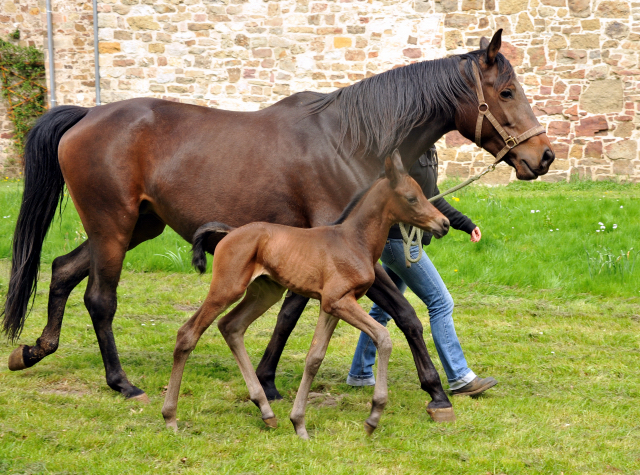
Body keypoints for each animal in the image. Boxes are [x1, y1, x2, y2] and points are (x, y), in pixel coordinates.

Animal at [160, 152, 450, 438]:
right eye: (411, 197)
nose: (444, 224)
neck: (353, 241)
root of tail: (229, 233)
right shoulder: (338, 301)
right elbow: (383, 337)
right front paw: (374, 415)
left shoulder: (332, 306)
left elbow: (314, 358)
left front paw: (298, 422)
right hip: (226, 288)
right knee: (188, 334)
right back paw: (170, 417)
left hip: (266, 292)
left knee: (231, 326)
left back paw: (266, 411)